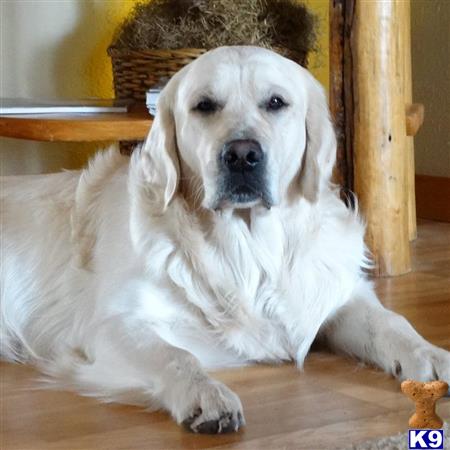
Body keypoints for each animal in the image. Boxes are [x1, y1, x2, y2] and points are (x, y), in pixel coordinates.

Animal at [2, 46, 450, 432]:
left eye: (276, 102)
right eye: (204, 105)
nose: (242, 155)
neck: (249, 250)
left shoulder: (334, 296)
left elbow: (391, 321)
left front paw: (431, 355)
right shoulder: (112, 325)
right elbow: (177, 355)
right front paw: (206, 396)